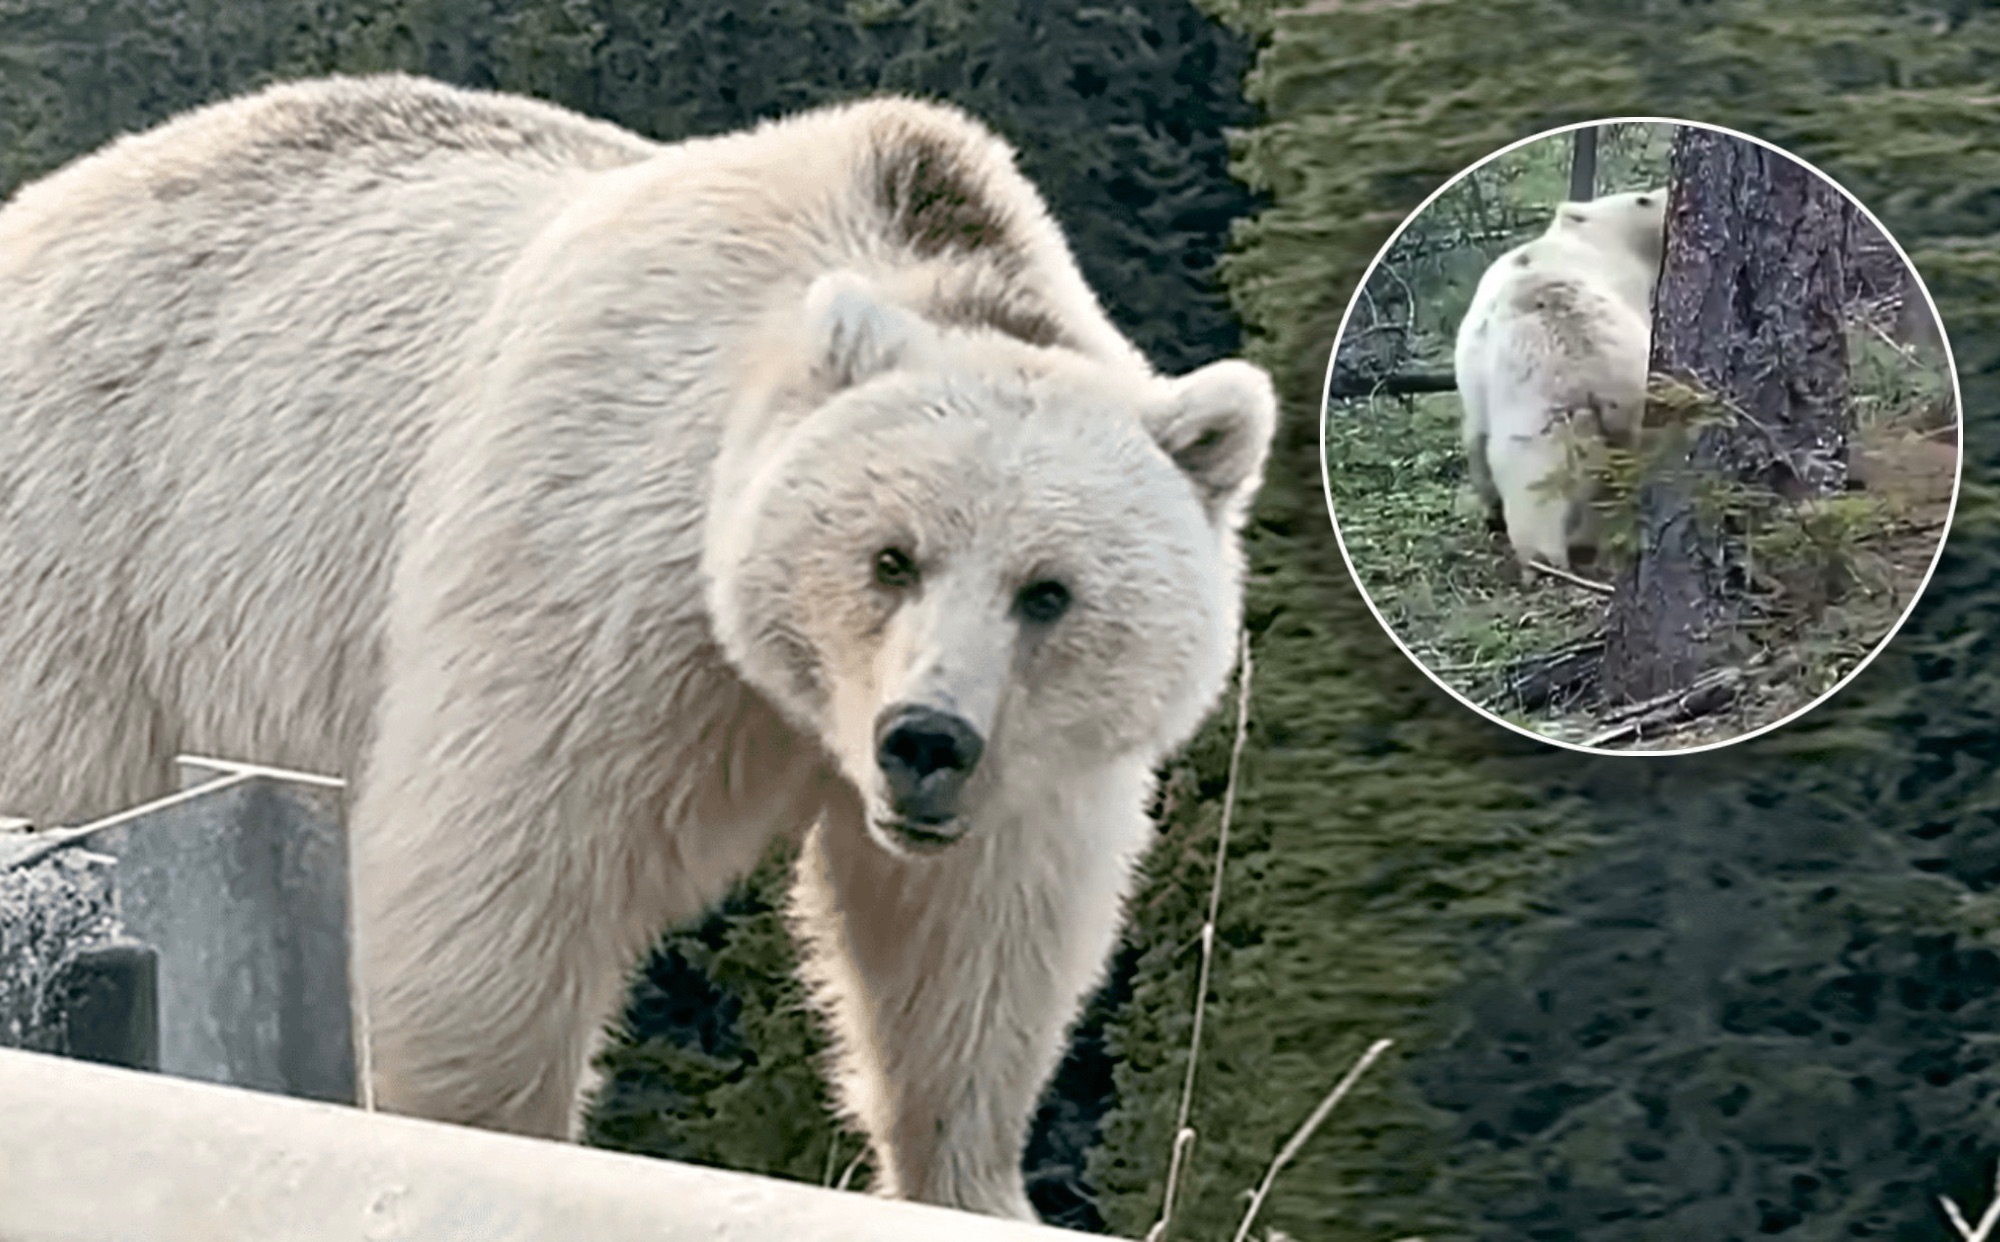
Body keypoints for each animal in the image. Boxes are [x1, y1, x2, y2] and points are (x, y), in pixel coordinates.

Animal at [0, 72, 1280, 1216]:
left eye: (1048, 591)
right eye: (890, 556)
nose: (924, 740)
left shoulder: (1029, 773)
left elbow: (972, 960)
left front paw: (974, 1180)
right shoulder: (600, 584)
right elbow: (489, 893)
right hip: (93, 571)